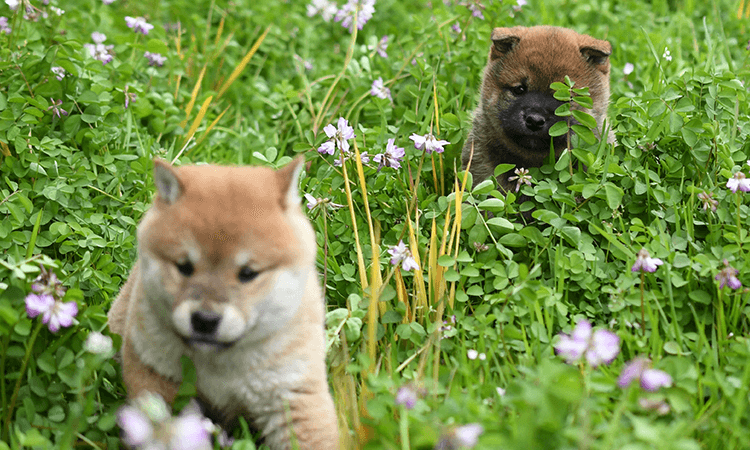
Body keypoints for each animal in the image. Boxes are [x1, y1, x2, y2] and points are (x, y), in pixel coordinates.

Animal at [106, 157, 340, 450]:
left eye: (248, 273)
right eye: (184, 267)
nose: (205, 320)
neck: (218, 366)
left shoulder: (292, 395)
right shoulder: (154, 376)